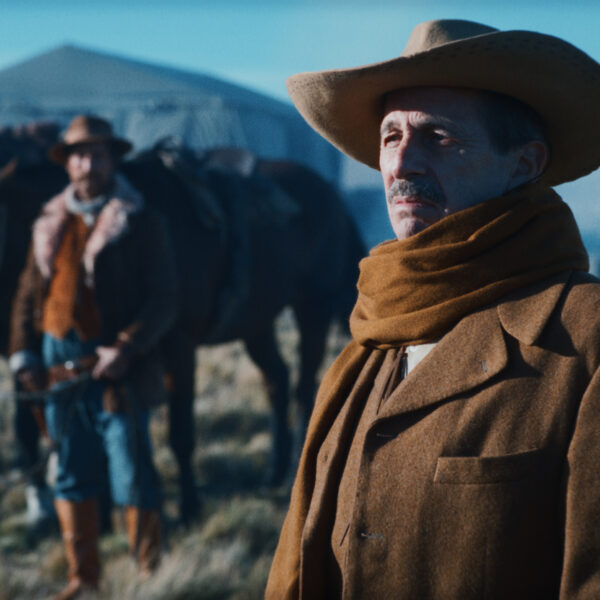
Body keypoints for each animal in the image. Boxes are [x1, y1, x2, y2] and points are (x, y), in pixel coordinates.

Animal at [0, 126, 365, 522]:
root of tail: (330, 192)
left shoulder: (178, 345)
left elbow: (179, 432)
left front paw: (188, 506)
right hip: (257, 323)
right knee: (277, 380)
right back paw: (274, 472)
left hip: (313, 307)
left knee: (304, 387)